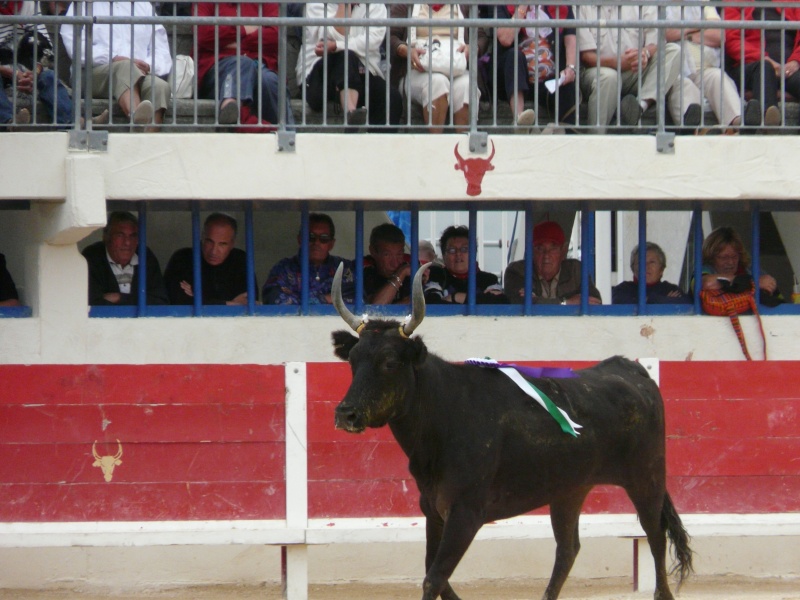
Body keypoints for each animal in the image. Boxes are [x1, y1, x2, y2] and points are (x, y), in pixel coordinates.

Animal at [328, 264, 692, 600]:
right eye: (353, 361)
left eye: (390, 363)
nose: (346, 414)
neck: (444, 413)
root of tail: (634, 370)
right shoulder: (433, 510)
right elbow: (437, 575)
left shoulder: (465, 514)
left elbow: (433, 578)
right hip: (571, 489)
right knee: (568, 548)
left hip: (646, 479)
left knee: (655, 536)